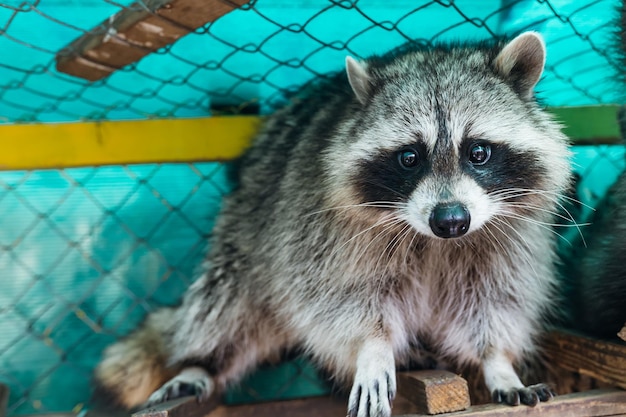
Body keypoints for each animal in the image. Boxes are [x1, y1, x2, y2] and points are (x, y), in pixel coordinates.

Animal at [95, 33, 568, 416]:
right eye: (409, 157)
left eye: (478, 152)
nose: (450, 220)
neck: (435, 242)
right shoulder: (324, 233)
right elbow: (340, 299)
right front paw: (372, 347)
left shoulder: (506, 237)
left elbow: (495, 300)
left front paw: (498, 362)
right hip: (247, 228)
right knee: (228, 303)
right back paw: (201, 362)